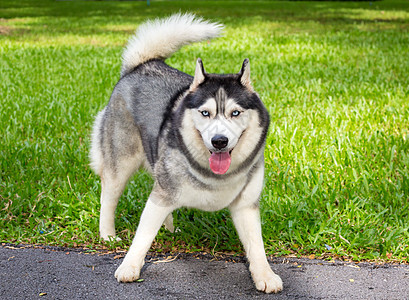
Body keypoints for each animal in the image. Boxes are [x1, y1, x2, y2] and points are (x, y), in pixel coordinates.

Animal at [89, 13, 282, 292]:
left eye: (235, 113)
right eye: (205, 113)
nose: (219, 141)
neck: (214, 176)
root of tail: (143, 64)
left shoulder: (246, 205)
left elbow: (256, 245)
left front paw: (265, 275)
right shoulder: (160, 195)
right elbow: (142, 236)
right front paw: (129, 266)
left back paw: (169, 229)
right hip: (121, 162)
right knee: (109, 197)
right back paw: (107, 234)